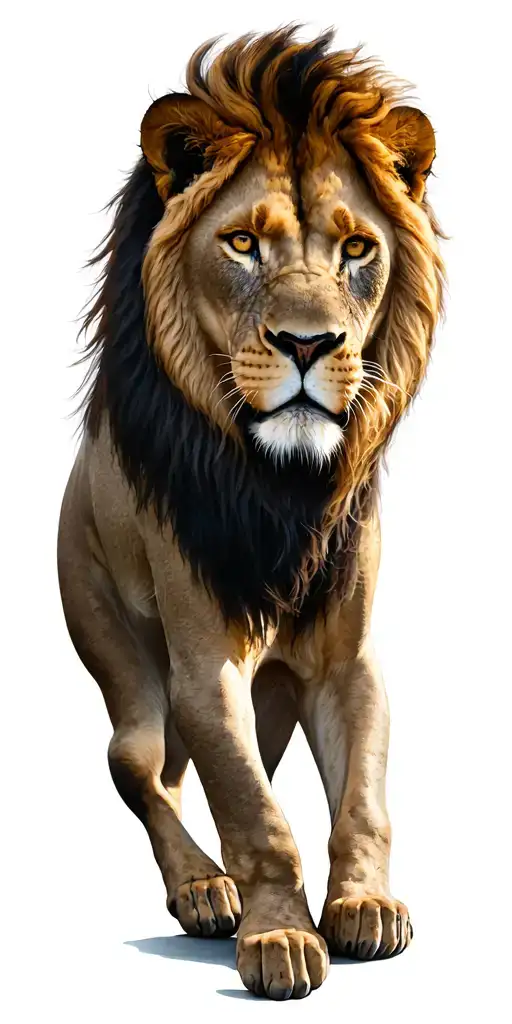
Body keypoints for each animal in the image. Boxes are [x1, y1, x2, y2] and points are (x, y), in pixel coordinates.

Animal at [58, 28, 444, 1000]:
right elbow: (258, 818)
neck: (282, 489)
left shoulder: (349, 659)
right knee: (140, 768)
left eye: (357, 249)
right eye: (241, 243)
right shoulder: (205, 667)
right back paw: (203, 890)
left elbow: (361, 799)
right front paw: (278, 937)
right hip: (119, 656)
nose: (310, 344)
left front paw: (365, 905)